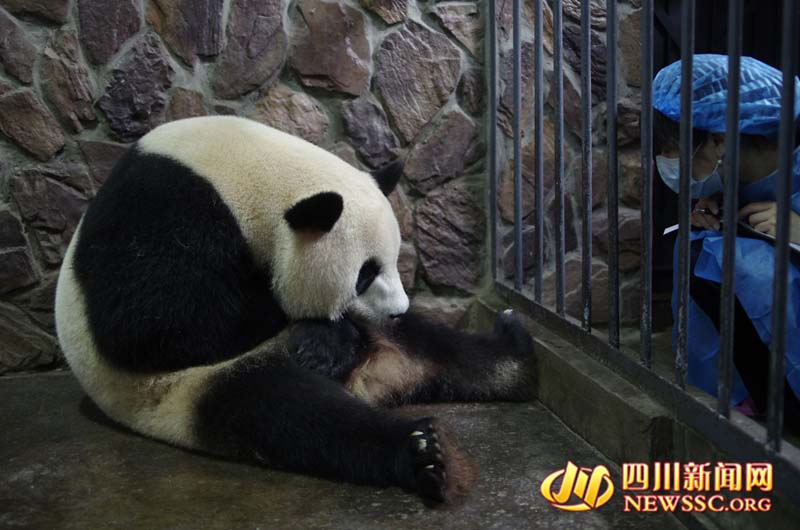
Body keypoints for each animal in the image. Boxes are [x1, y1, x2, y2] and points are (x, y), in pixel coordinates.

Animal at [55, 116, 535, 507]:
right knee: (292, 416)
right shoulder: (160, 209)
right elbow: (150, 325)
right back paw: (420, 453)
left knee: (441, 345)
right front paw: (316, 335)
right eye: (365, 274)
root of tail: (371, 383)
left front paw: (326, 339)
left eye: (394, 259)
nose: (398, 309)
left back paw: (513, 355)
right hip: (180, 391)